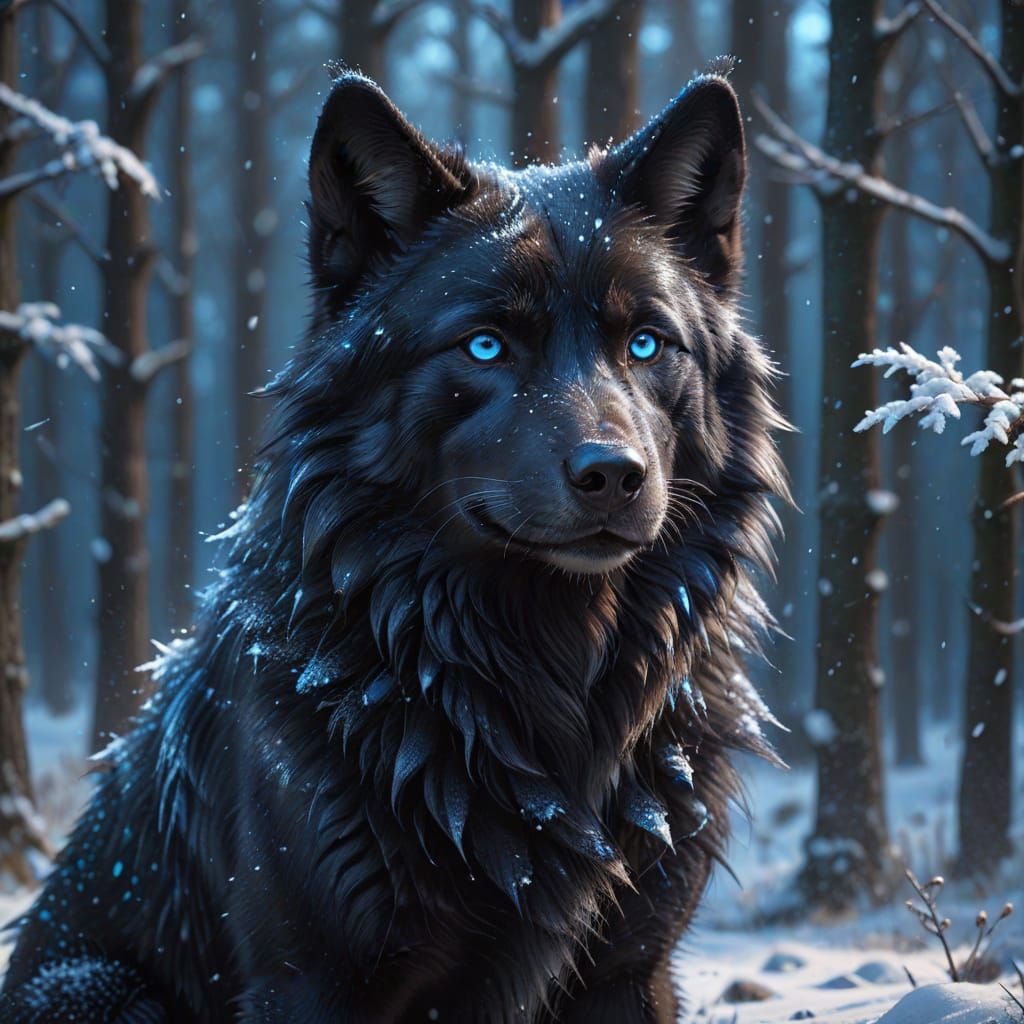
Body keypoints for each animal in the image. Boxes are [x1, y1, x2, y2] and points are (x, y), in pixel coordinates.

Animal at [1, 70, 787, 1023]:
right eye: (485, 345)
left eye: (645, 343)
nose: (613, 473)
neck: (546, 680)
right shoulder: (312, 979)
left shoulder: (630, 972)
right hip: (101, 992)